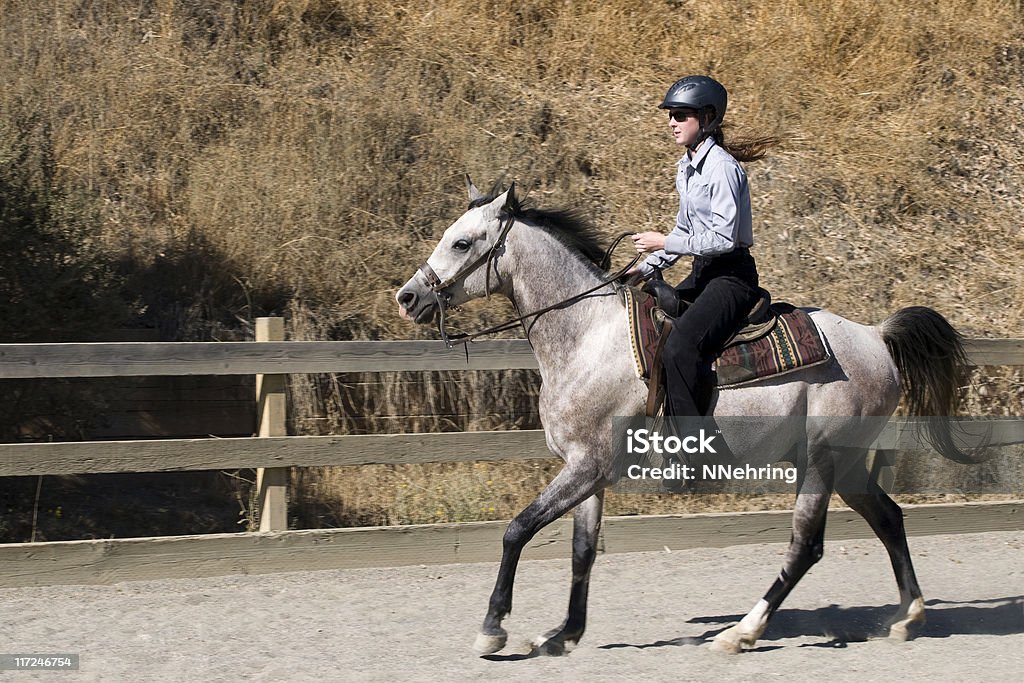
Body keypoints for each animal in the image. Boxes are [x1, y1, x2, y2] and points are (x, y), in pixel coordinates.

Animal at [391, 179, 974, 655]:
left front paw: (493, 628)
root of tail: (876, 337)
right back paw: (907, 616)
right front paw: (564, 634)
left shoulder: (585, 467)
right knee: (889, 519)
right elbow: (582, 550)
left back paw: (741, 632)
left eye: (462, 242)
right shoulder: (589, 471)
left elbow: (517, 530)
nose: (408, 296)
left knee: (805, 546)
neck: (586, 336)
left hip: (822, 462)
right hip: (847, 466)